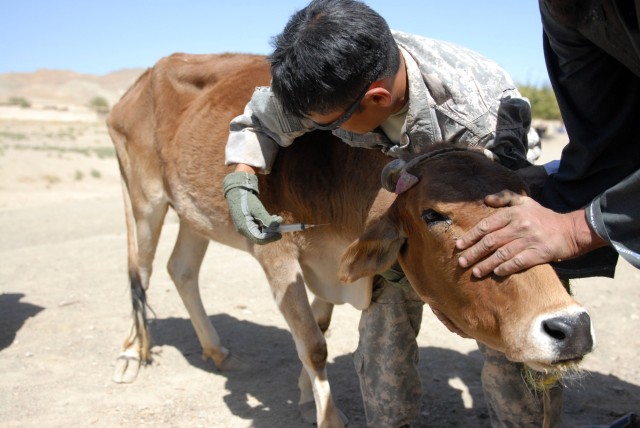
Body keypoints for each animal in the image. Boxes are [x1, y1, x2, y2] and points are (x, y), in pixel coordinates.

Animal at [106, 53, 596, 428]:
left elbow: (318, 329)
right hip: (144, 199)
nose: (570, 327)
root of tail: (143, 79)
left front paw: (306, 395)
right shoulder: (277, 255)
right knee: (140, 271)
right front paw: (327, 415)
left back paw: (215, 350)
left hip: (192, 216)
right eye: (433, 215)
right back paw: (129, 353)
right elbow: (314, 345)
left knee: (181, 270)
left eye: (528, 203)